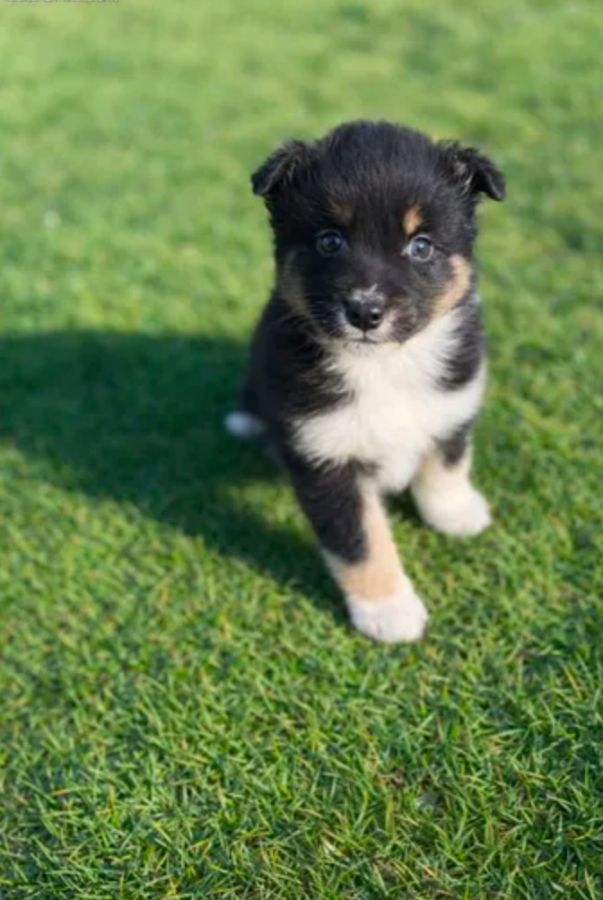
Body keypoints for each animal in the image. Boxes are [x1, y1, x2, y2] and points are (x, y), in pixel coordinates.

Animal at [226, 120, 505, 643]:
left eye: (421, 246)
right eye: (330, 241)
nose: (364, 311)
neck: (384, 366)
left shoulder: (454, 397)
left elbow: (447, 461)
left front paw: (455, 513)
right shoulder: (327, 459)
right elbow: (360, 541)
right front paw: (389, 610)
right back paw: (246, 420)